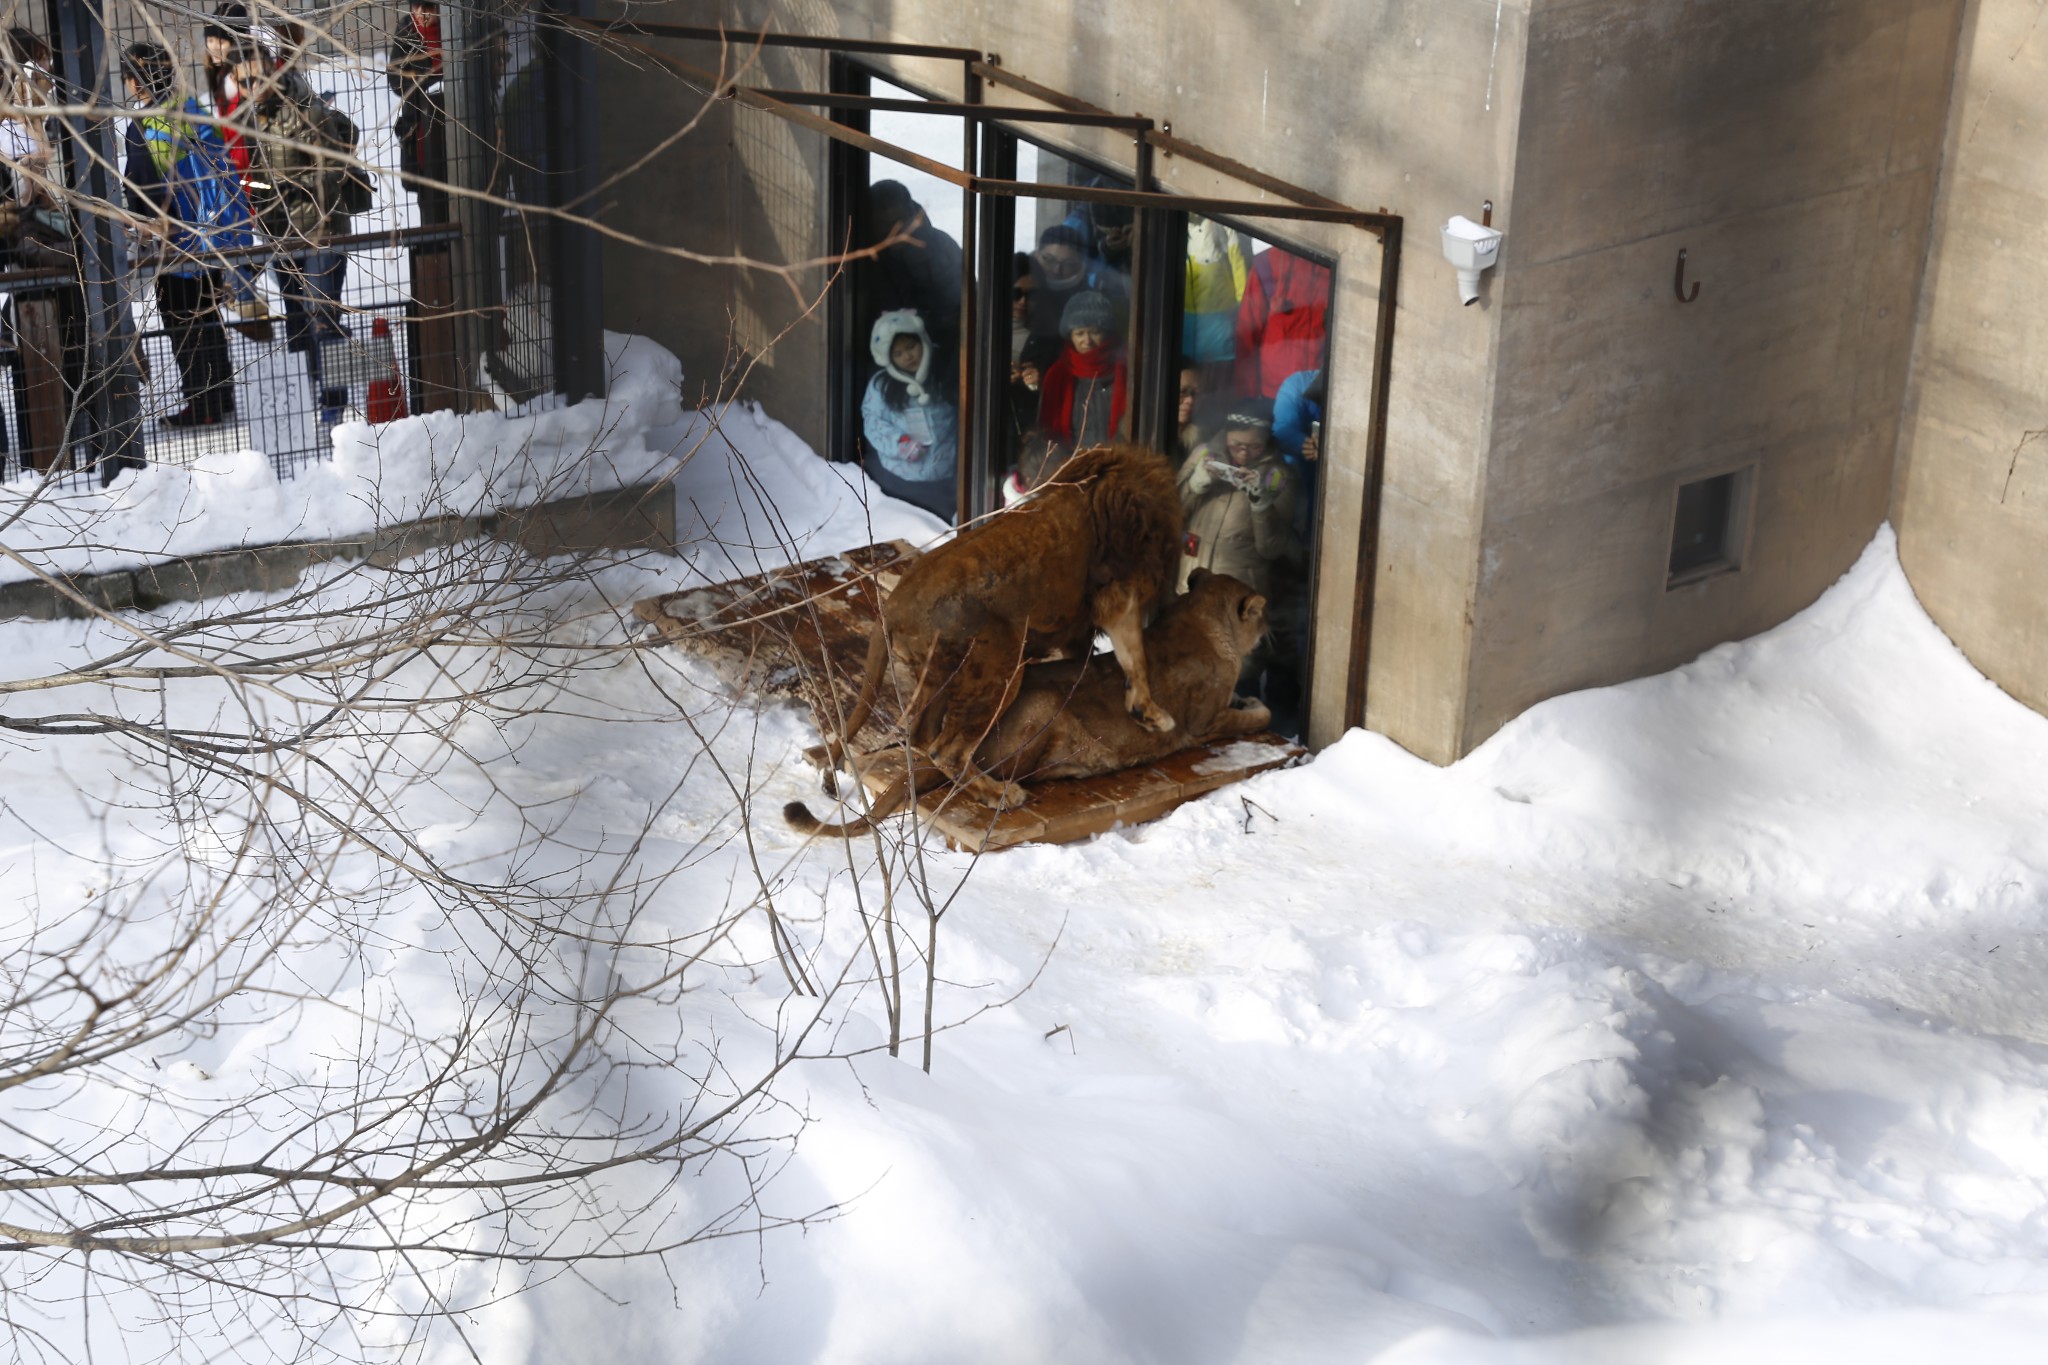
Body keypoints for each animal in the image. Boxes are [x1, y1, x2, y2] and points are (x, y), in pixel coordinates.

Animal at [790, 573, 1269, 839]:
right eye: (1263, 618)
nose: (1271, 629)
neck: (1202, 620)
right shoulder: (1206, 722)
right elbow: (1256, 716)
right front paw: (1255, 701)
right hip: (1041, 705)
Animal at [819, 446, 1179, 810]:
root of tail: (891, 608)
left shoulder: (1082, 624)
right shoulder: (1120, 595)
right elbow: (1136, 657)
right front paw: (1151, 713)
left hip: (938, 675)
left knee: (923, 734)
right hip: (999, 667)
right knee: (946, 750)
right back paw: (998, 793)